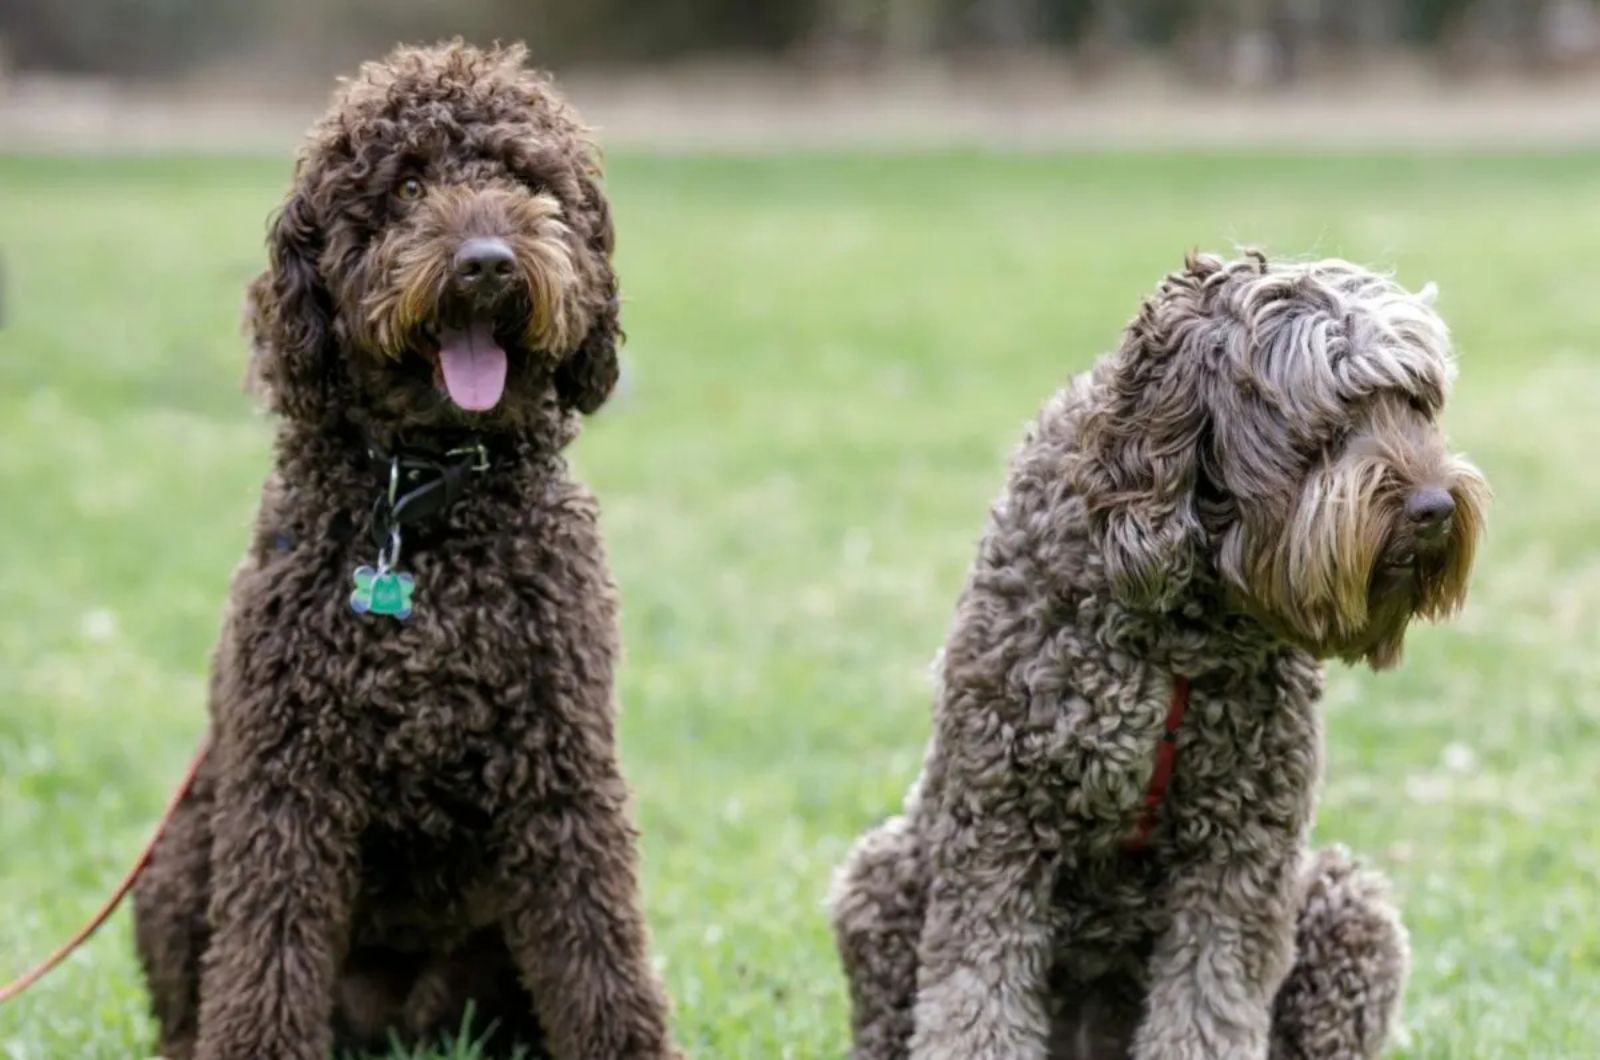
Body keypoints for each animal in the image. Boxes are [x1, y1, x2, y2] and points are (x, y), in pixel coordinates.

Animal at [126, 41, 675, 1060]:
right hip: (179, 856)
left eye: (525, 180)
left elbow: (600, 957)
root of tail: (403, 1026)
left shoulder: (565, 771)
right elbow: (266, 954)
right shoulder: (286, 783)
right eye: (409, 185)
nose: (487, 264)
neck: (423, 499)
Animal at [832, 252, 1491, 1060]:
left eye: (1418, 405)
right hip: (882, 876)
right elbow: (976, 1003)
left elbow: (1207, 1007)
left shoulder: (1243, 854)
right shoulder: (997, 828)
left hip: (1349, 910)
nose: (1435, 509)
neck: (1181, 619)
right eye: (1334, 421)